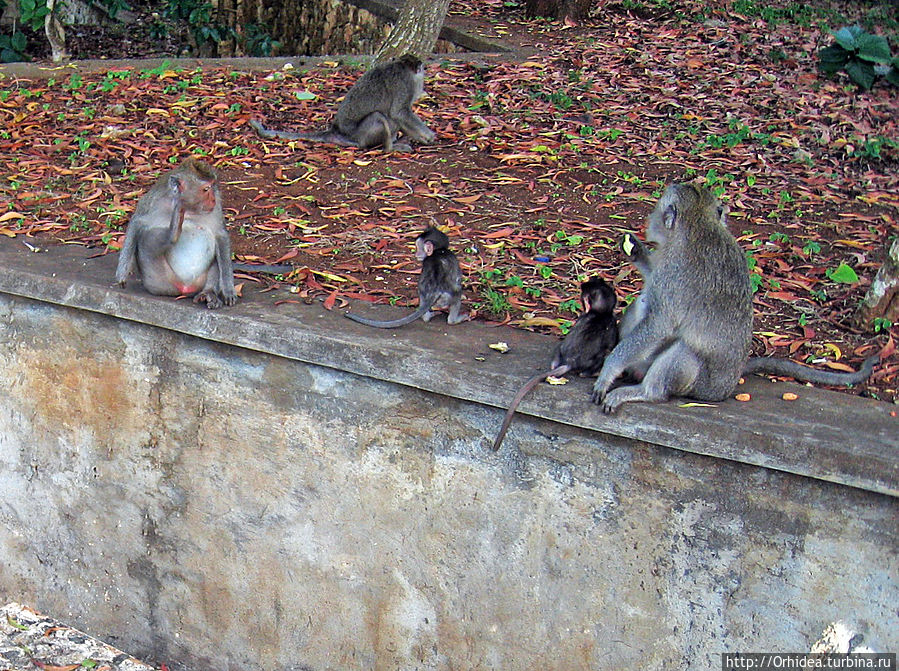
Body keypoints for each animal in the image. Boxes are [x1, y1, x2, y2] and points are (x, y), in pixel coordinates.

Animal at [114, 159, 237, 308]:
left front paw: (228, 289)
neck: (188, 209)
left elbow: (221, 236)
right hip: (158, 282)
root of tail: (184, 289)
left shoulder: (216, 208)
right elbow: (137, 222)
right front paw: (122, 273)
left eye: (213, 186)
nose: (213, 199)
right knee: (147, 238)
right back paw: (173, 232)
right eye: (206, 189)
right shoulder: (154, 201)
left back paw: (208, 293)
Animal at [251, 54, 438, 154]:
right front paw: (429, 136)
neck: (401, 66)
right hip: (361, 135)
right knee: (379, 117)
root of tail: (338, 131)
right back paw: (389, 148)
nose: (423, 69)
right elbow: (399, 112)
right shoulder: (405, 83)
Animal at [492, 278, 620, 452]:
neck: (601, 313)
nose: (582, 285)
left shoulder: (581, 319)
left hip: (559, 351)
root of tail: (570, 361)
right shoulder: (613, 326)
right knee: (602, 357)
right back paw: (590, 373)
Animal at [592, 184, 880, 414]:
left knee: (685, 350)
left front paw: (609, 371)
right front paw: (637, 251)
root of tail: (727, 387)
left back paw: (646, 392)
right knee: (644, 303)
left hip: (701, 385)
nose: (650, 220)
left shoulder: (676, 269)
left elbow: (660, 324)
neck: (699, 224)